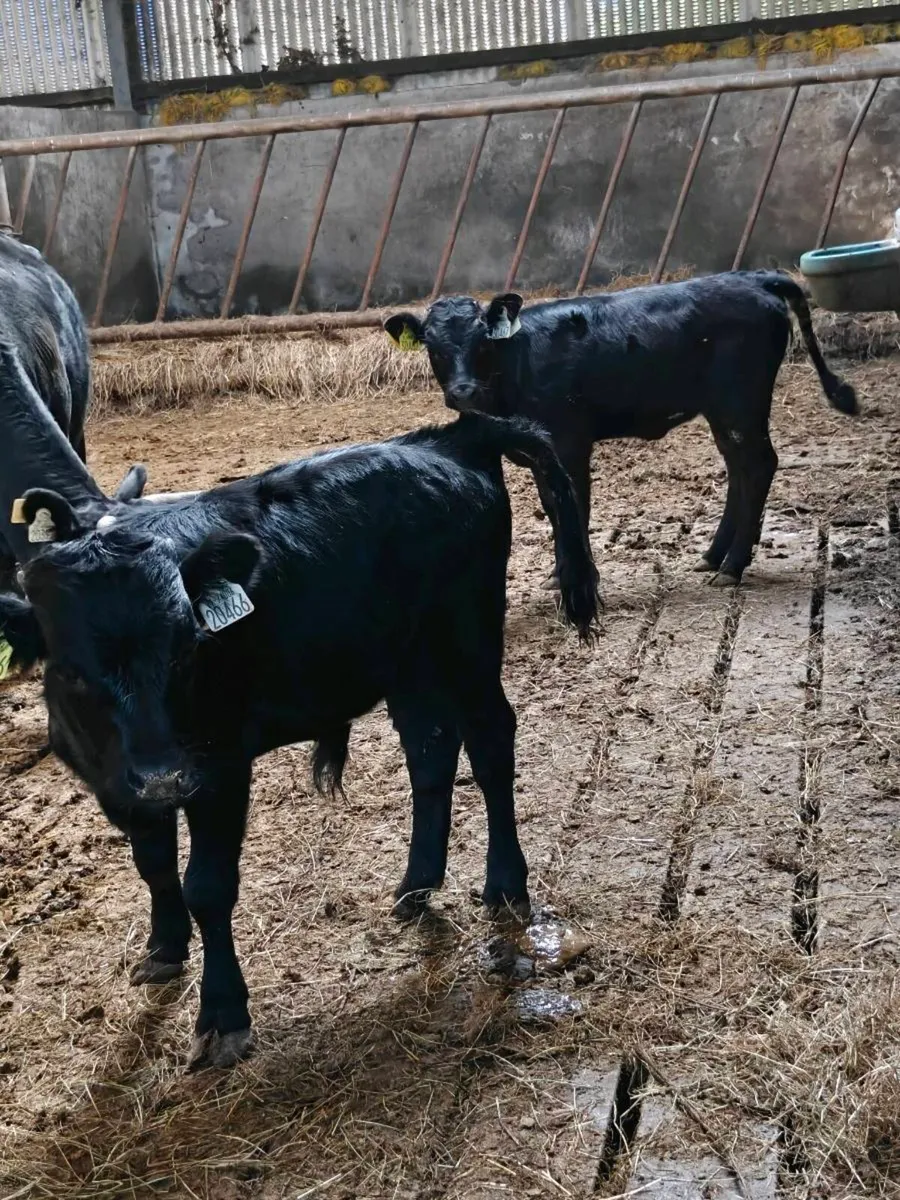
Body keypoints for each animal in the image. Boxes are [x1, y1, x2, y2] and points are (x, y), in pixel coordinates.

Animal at [0, 343, 598, 1070]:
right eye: (72, 672)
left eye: (187, 649)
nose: (167, 779)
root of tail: (447, 439)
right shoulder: (118, 781)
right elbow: (152, 862)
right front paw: (163, 949)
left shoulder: (219, 765)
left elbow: (207, 885)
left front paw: (223, 1014)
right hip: (407, 664)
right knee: (430, 752)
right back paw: (416, 884)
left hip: (469, 643)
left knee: (490, 744)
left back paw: (505, 883)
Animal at [384, 270, 857, 587]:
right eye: (432, 346)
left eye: (483, 340)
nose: (462, 390)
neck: (516, 365)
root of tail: (755, 278)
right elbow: (553, 508)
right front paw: (560, 574)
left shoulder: (570, 443)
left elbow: (574, 506)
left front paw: (577, 578)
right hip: (723, 410)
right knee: (738, 468)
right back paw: (713, 555)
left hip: (742, 401)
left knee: (758, 465)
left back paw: (732, 566)